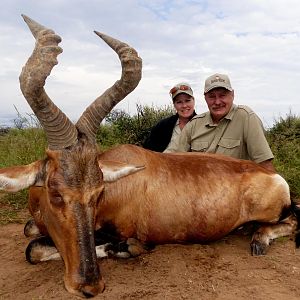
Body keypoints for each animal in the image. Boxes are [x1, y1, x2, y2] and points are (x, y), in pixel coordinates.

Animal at [0, 15, 298, 298]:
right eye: (55, 193)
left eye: (98, 193)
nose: (90, 286)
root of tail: (274, 176)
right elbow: (29, 235)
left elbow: (35, 249)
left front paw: (122, 248)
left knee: (292, 219)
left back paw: (259, 239)